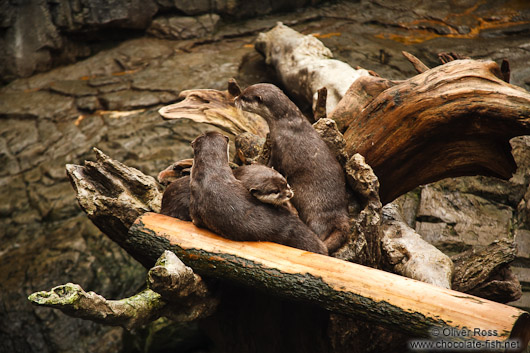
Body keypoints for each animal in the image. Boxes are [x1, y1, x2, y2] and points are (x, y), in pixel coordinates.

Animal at [234, 83, 348, 253]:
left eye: (244, 97)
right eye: (243, 91)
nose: (235, 99)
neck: (286, 124)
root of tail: (341, 214)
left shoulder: (280, 147)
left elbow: (274, 164)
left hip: (317, 217)